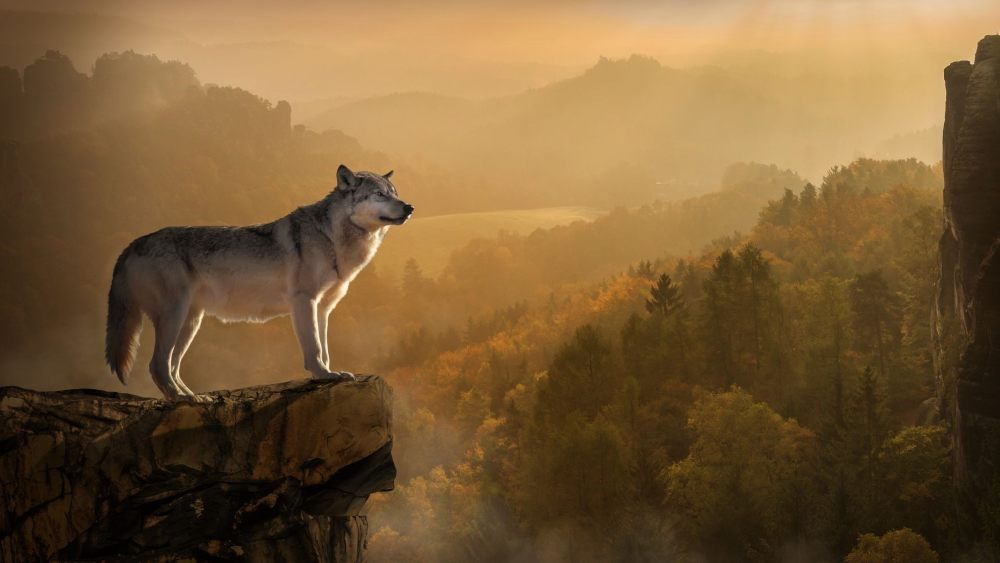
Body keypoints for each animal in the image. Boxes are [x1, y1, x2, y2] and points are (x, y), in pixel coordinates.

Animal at [105, 165, 413, 401]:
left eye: (395, 193)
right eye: (379, 194)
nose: (410, 207)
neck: (332, 238)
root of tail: (131, 245)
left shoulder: (323, 309)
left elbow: (324, 348)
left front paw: (330, 373)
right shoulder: (304, 301)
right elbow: (313, 348)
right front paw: (323, 375)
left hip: (191, 322)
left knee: (172, 366)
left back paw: (193, 397)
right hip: (175, 317)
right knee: (157, 365)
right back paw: (182, 399)